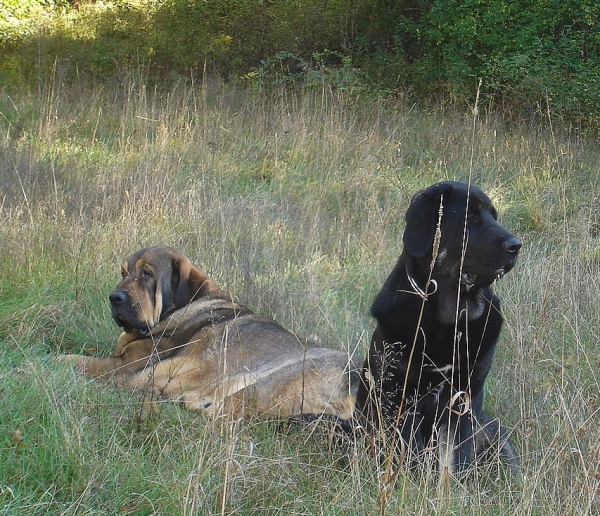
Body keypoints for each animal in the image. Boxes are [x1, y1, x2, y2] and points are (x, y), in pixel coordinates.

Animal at [61, 246, 358, 420]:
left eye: (147, 274)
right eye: (124, 272)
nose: (114, 298)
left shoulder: (127, 366)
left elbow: (80, 361)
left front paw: (53, 360)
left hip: (268, 380)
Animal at [356, 181, 520, 476]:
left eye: (494, 216)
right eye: (470, 218)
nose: (517, 245)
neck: (452, 318)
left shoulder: (465, 397)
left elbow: (455, 459)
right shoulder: (402, 397)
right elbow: (412, 455)